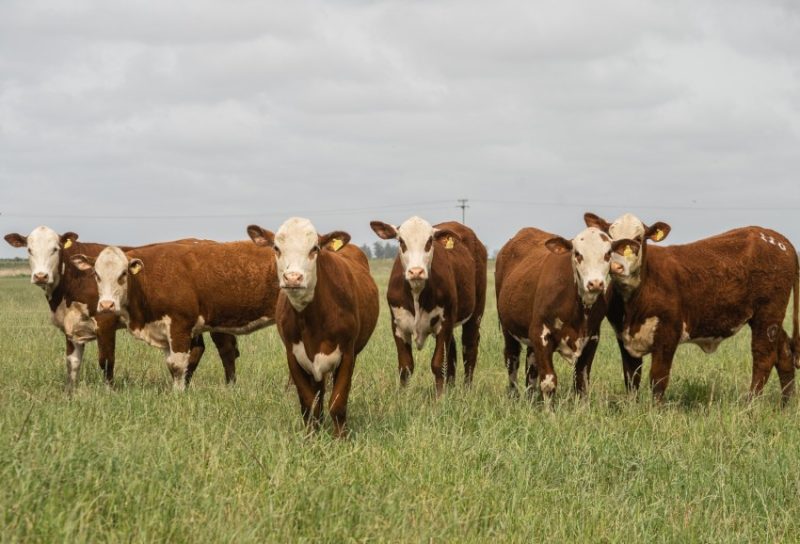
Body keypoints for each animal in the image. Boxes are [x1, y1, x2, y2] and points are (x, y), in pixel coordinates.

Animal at [72, 240, 278, 388]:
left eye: (123, 274)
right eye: (96, 275)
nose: (106, 305)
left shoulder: (180, 325)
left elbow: (178, 364)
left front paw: (178, 395)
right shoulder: (165, 331)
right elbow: (171, 364)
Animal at [247, 218, 378, 438]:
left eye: (314, 248)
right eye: (276, 248)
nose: (293, 278)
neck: (311, 321)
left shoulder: (347, 354)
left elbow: (338, 402)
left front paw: (341, 438)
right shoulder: (293, 356)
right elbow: (308, 402)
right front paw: (311, 436)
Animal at [368, 217, 488, 396]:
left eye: (430, 241)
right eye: (401, 241)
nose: (416, 271)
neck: (417, 294)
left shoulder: (444, 323)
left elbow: (438, 363)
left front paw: (440, 398)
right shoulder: (398, 326)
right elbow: (406, 366)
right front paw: (404, 396)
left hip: (476, 312)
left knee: (469, 348)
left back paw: (466, 390)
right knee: (452, 351)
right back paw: (451, 386)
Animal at [496, 225, 620, 400]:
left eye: (608, 253)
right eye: (577, 254)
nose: (595, 283)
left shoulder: (592, 338)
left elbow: (581, 382)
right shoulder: (540, 334)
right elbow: (548, 382)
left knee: (531, 366)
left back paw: (531, 397)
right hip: (508, 330)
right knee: (512, 359)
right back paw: (514, 394)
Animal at [580, 212, 800, 400]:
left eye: (638, 238)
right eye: (610, 239)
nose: (617, 267)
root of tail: (777, 238)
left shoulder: (668, 334)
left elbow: (658, 379)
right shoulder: (623, 336)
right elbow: (632, 378)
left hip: (768, 314)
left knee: (763, 357)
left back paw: (750, 404)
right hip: (768, 318)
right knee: (784, 354)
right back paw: (785, 405)